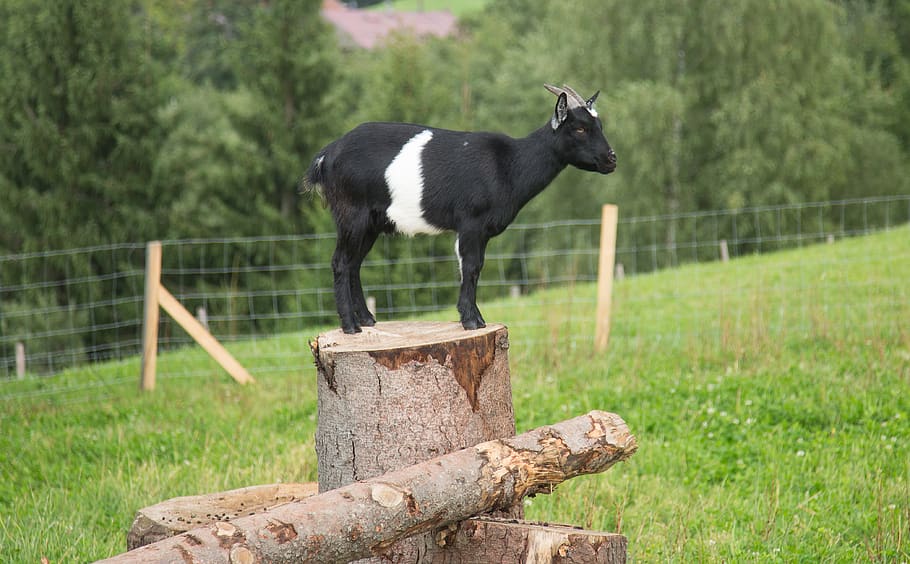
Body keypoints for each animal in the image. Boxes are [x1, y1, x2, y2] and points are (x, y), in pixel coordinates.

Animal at [306, 84, 616, 334]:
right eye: (579, 128)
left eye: (600, 126)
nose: (611, 159)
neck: (509, 164)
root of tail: (326, 156)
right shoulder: (471, 223)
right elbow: (471, 266)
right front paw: (471, 321)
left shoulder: (481, 231)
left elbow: (476, 267)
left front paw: (476, 318)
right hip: (352, 213)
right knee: (341, 262)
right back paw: (350, 326)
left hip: (371, 223)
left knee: (354, 264)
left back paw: (367, 320)